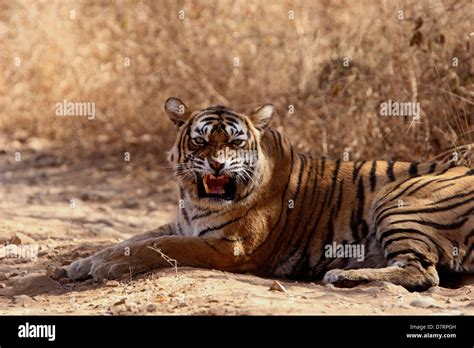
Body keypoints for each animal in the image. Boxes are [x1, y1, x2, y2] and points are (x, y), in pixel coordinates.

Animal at [66, 97, 474, 290]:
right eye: (200, 142)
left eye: (235, 142)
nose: (217, 166)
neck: (197, 200)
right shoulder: (181, 224)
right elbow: (131, 240)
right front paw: (84, 263)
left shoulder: (231, 247)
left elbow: (160, 247)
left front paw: (107, 267)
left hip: (398, 201)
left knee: (423, 272)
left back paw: (343, 277)